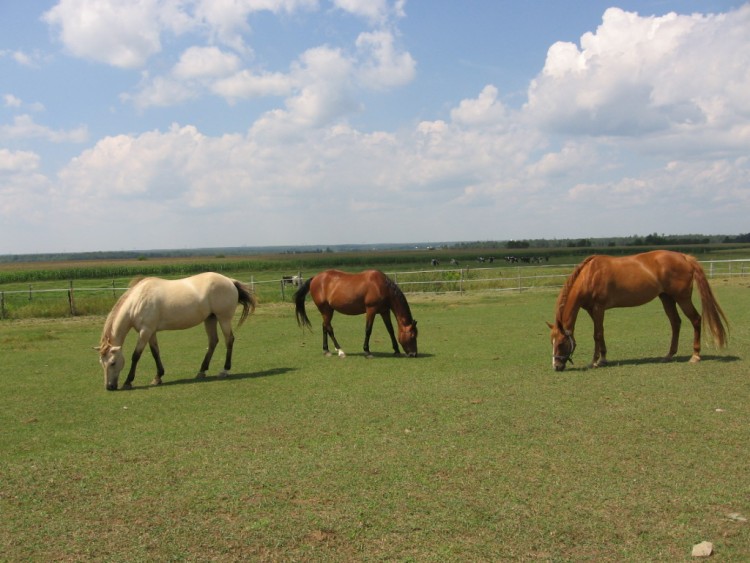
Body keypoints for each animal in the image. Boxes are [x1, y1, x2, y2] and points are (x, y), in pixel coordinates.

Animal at [97, 274, 258, 392]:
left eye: (113, 362)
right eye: (101, 363)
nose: (109, 387)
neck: (137, 300)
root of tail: (230, 281)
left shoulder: (145, 331)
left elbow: (136, 355)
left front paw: (128, 381)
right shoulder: (151, 332)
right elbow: (155, 353)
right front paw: (158, 377)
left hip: (223, 318)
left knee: (229, 340)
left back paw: (224, 370)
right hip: (210, 319)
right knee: (213, 341)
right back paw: (201, 371)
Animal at [548, 250, 732, 372]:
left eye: (561, 343)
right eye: (552, 342)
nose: (556, 366)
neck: (590, 275)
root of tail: (684, 257)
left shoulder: (599, 308)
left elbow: (597, 335)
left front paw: (596, 361)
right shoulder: (592, 311)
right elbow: (601, 333)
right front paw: (602, 358)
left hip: (682, 298)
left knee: (695, 319)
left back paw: (695, 356)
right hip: (667, 298)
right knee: (675, 323)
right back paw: (669, 355)